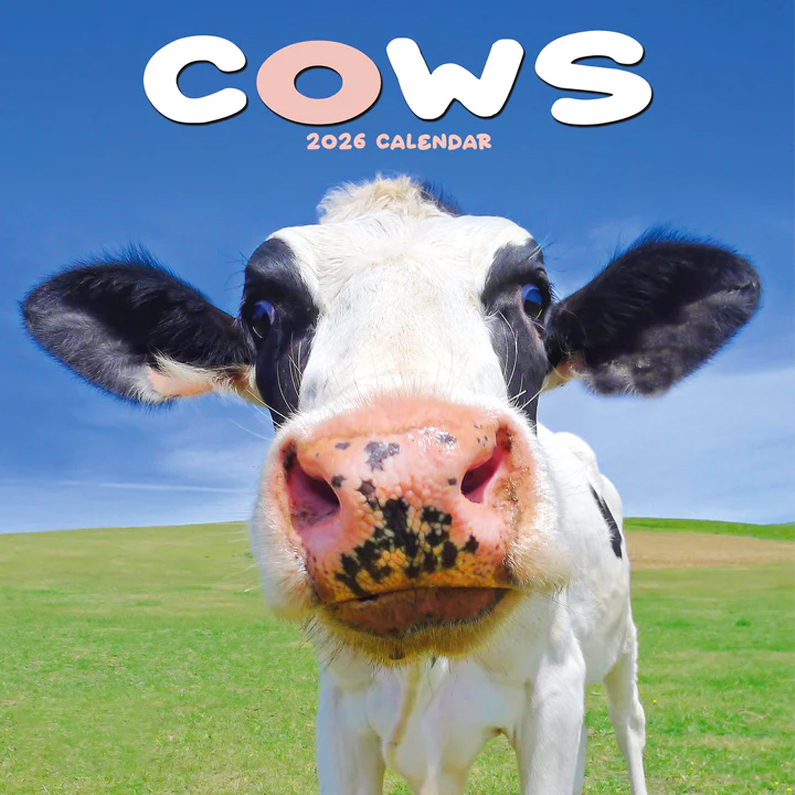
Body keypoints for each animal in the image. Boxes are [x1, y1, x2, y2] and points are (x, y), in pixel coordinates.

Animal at [22, 176, 761, 795]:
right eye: (260, 312)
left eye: (533, 299)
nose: (404, 473)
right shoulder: (341, 716)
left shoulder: (554, 695)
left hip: (622, 644)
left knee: (631, 722)